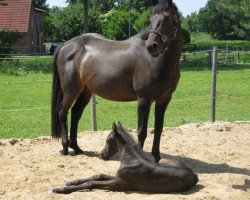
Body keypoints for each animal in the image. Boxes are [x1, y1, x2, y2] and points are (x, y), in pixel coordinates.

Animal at [51, 0, 182, 162]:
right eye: (151, 20)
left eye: (167, 18)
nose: (152, 46)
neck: (160, 62)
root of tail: (65, 45)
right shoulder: (144, 99)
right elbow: (142, 131)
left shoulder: (164, 99)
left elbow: (158, 129)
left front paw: (156, 158)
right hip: (71, 91)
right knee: (62, 113)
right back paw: (65, 147)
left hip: (85, 91)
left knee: (75, 114)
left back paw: (76, 148)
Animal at [52, 122, 197, 195]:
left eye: (108, 140)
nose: (102, 155)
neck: (131, 160)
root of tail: (195, 175)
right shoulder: (117, 176)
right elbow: (98, 175)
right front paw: (71, 182)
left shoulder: (120, 183)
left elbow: (91, 183)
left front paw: (60, 189)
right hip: (163, 160)